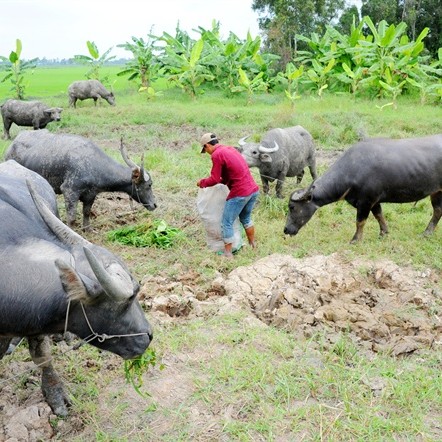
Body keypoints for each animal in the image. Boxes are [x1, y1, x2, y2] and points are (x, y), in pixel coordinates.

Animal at [4, 129, 157, 228]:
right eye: (149, 185)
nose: (155, 204)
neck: (94, 165)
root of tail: (12, 145)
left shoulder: (91, 195)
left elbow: (87, 212)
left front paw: (87, 229)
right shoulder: (69, 191)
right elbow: (71, 218)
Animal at [284, 136, 442, 243]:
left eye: (292, 207)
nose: (285, 229)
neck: (351, 171)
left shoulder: (366, 201)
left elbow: (360, 221)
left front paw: (355, 240)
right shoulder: (374, 202)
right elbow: (379, 215)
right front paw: (384, 233)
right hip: (437, 192)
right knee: (438, 211)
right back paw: (427, 233)